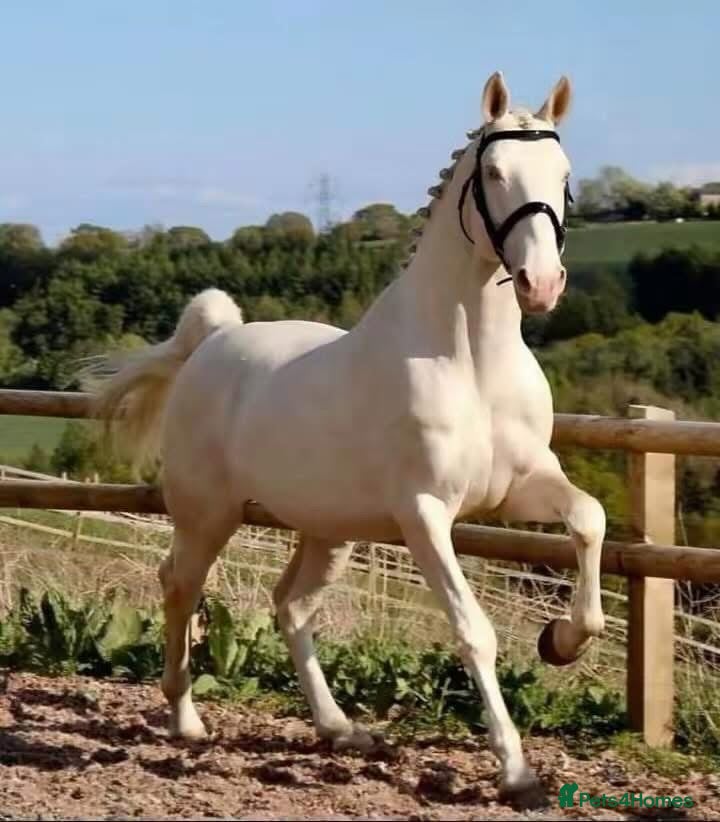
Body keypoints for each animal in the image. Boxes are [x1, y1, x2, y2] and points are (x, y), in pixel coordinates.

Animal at [90, 71, 606, 805]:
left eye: (563, 176)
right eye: (495, 172)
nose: (541, 284)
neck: (468, 360)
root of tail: (213, 343)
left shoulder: (520, 488)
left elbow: (589, 519)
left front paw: (563, 641)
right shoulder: (425, 514)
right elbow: (472, 629)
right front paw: (515, 770)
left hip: (328, 530)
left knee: (290, 607)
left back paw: (341, 730)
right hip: (207, 514)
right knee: (180, 586)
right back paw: (186, 721)